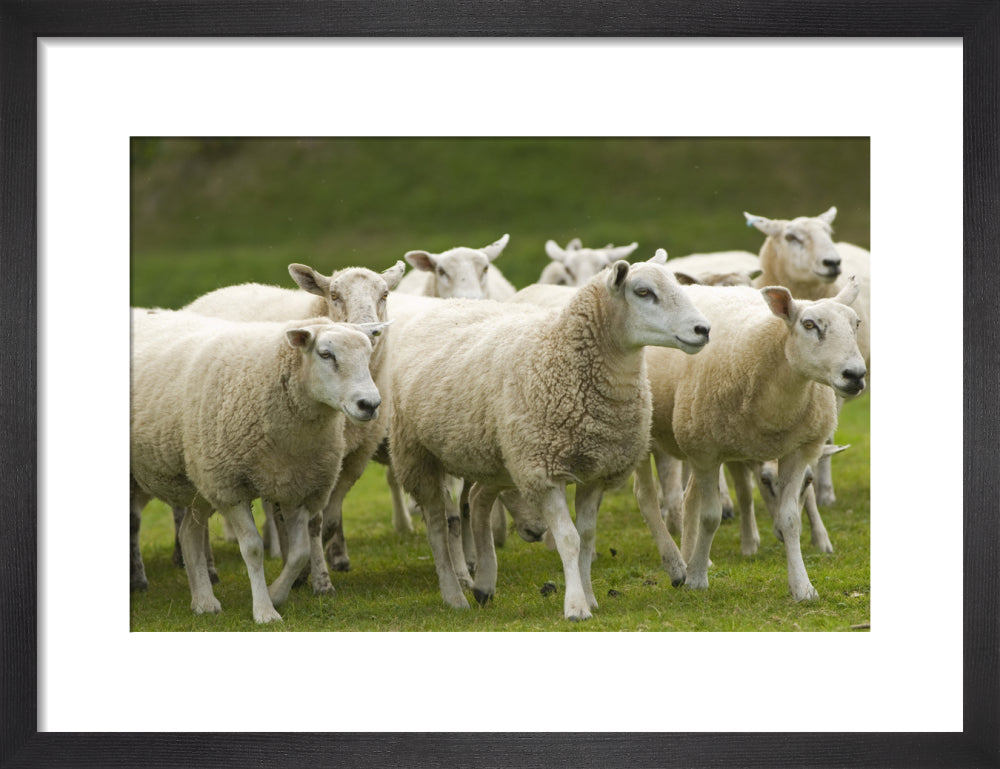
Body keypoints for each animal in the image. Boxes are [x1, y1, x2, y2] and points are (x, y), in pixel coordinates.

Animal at [130, 307, 385, 622]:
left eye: (368, 353)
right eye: (326, 354)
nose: (370, 404)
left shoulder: (295, 485)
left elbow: (299, 552)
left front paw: (276, 594)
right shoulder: (230, 487)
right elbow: (252, 548)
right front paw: (264, 610)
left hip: (200, 479)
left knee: (188, 534)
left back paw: (204, 602)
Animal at [182, 260, 404, 573]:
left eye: (385, 294)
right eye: (334, 295)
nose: (370, 330)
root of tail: (219, 291)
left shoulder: (349, 459)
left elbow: (329, 521)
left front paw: (329, 561)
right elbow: (306, 522)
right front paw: (306, 570)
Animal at [388, 250, 710, 620]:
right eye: (643, 292)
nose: (703, 329)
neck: (562, 352)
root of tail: (450, 304)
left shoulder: (594, 471)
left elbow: (586, 536)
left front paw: (590, 597)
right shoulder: (544, 471)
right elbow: (569, 538)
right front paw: (576, 606)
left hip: (500, 457)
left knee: (479, 499)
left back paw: (485, 584)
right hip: (417, 454)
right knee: (437, 528)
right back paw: (455, 595)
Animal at [633, 279, 866, 601]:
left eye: (856, 323)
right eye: (809, 324)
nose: (856, 375)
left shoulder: (797, 451)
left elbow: (790, 520)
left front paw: (802, 587)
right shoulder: (707, 451)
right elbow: (711, 516)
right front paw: (697, 580)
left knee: (688, 497)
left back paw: (692, 557)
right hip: (648, 433)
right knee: (647, 498)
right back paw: (677, 566)